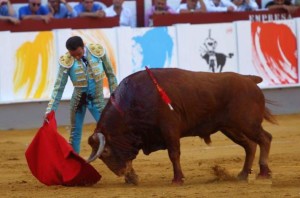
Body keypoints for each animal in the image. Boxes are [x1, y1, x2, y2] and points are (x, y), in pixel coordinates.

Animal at [85, 68, 276, 186]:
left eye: (105, 152)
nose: (120, 173)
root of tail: (248, 79)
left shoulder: (169, 129)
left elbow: (173, 154)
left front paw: (177, 179)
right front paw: (132, 177)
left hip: (247, 123)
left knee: (265, 139)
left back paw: (264, 172)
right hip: (231, 128)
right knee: (250, 145)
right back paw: (243, 174)